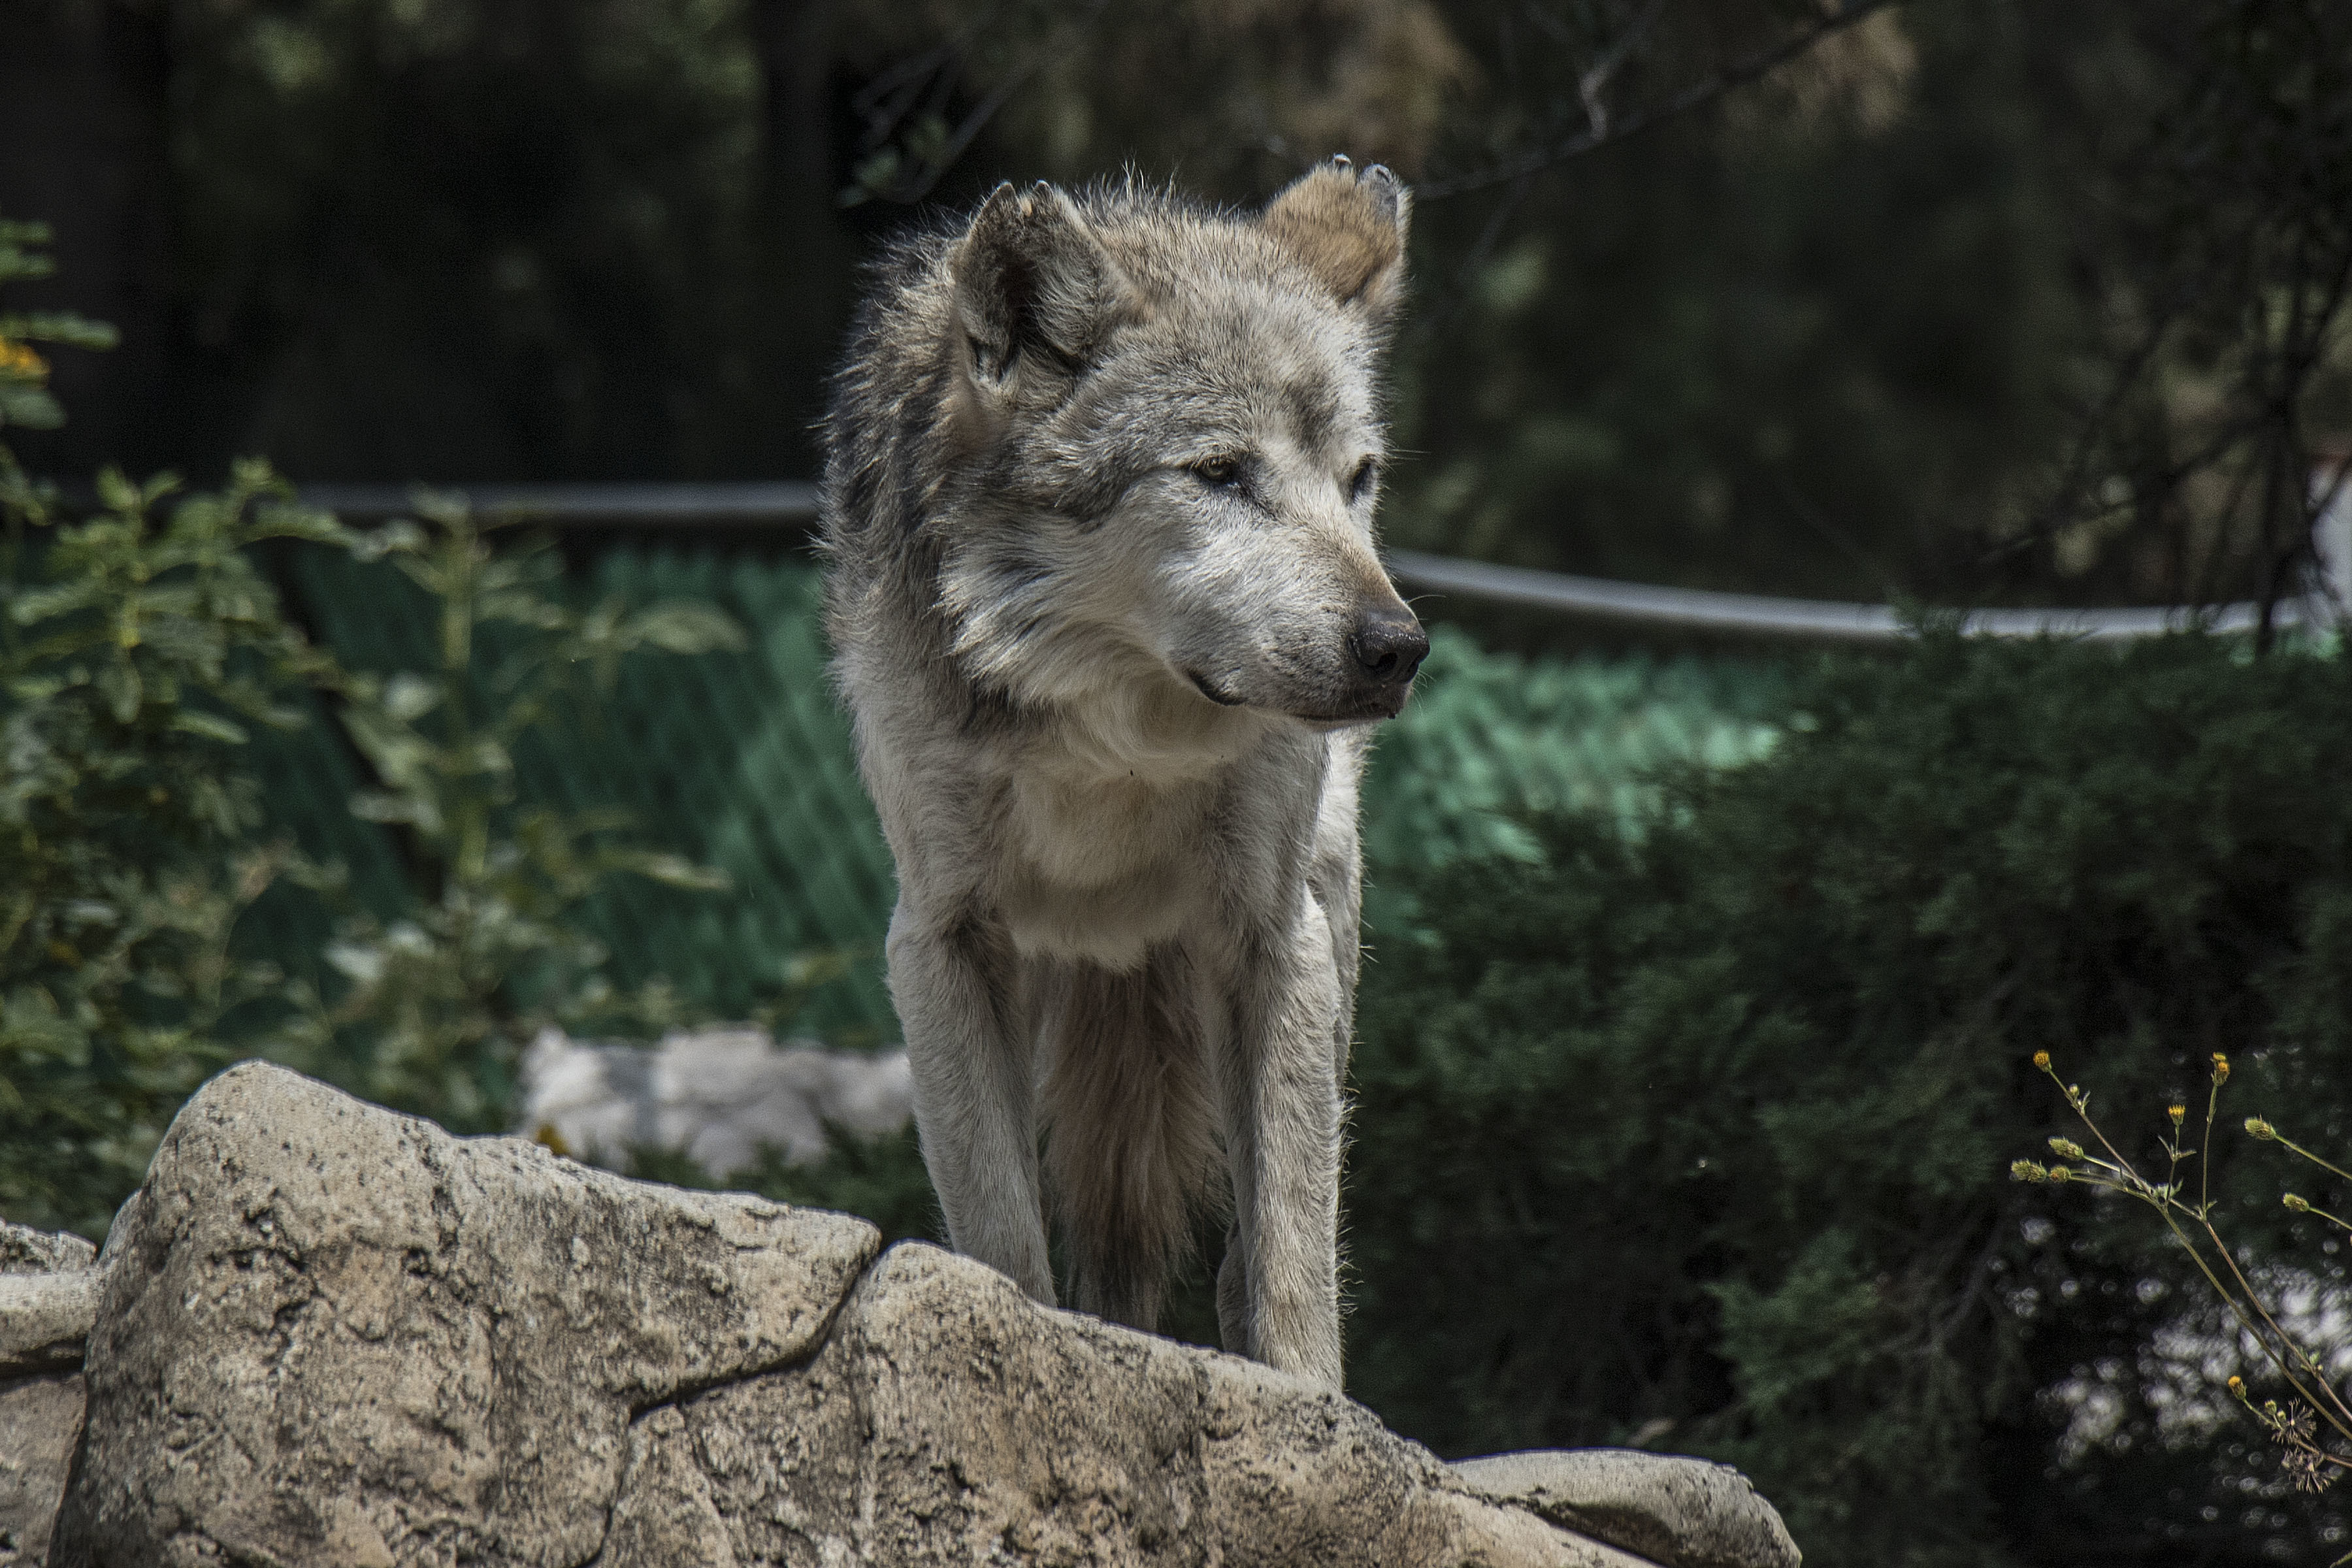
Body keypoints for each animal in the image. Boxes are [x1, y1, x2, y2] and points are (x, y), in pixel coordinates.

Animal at [818, 159, 1420, 1382]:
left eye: (1359, 479)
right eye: (1221, 474)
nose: (1397, 647)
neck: (1119, 748)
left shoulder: (1270, 935)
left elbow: (1294, 1259)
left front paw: (1315, 1414)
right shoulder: (941, 942)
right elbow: (1004, 1234)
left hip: (1321, 944)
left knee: (1250, 1253)